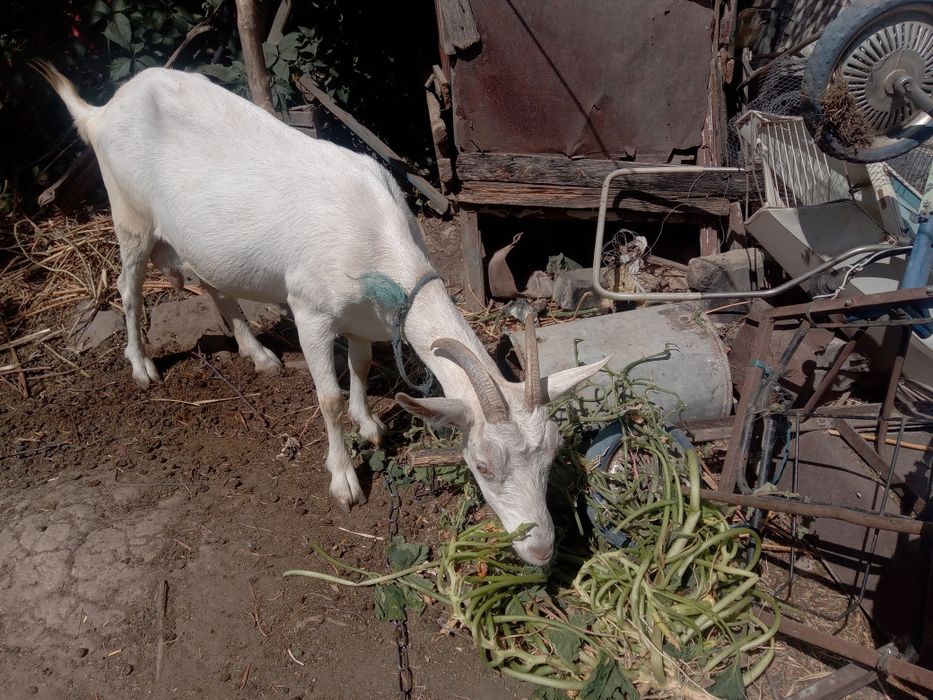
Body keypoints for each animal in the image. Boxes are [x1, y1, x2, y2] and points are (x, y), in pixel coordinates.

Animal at [35, 63, 609, 565]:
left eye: (553, 453)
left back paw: (258, 355)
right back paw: (141, 366)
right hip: (128, 213)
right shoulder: (310, 310)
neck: (373, 231)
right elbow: (328, 397)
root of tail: (103, 110)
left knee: (212, 284)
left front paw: (370, 424)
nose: (541, 551)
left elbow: (360, 367)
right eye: (483, 465)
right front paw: (345, 480)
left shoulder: (365, 316)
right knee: (128, 288)